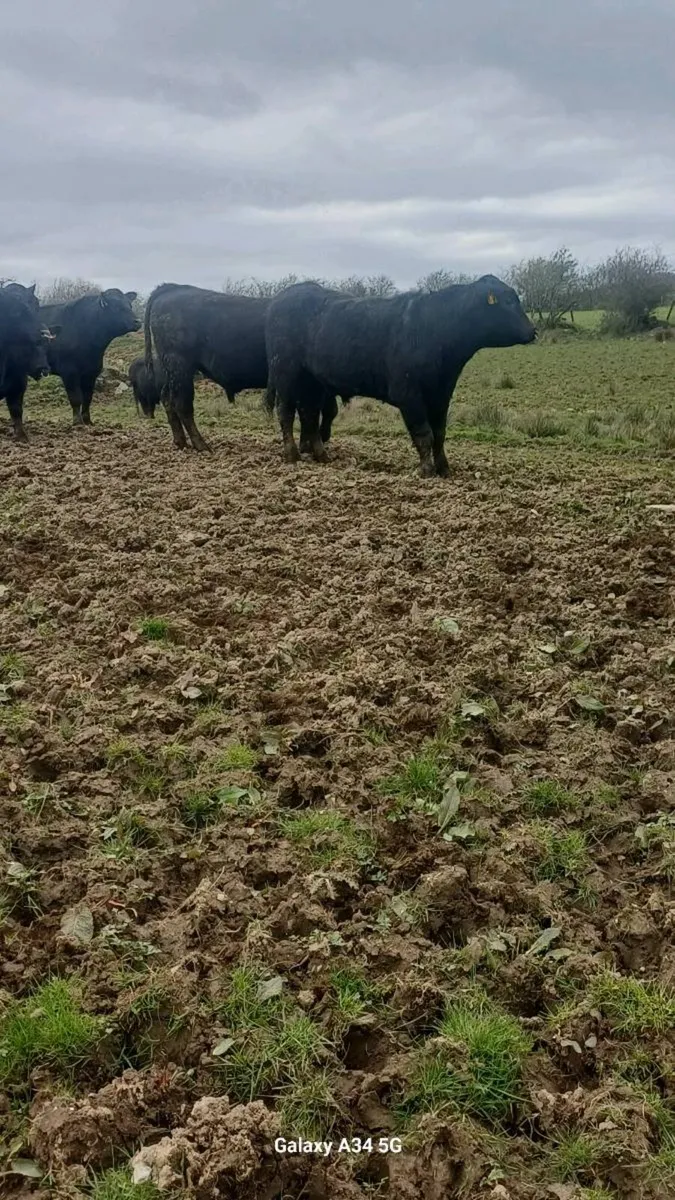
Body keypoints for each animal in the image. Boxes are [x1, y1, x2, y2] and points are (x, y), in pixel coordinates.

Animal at [0, 291, 58, 442]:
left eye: (47, 346)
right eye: (32, 341)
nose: (44, 369)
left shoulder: (18, 387)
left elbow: (16, 410)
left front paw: (22, 436)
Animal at [39, 289, 140, 426]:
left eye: (130, 305)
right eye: (117, 307)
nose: (138, 321)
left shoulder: (91, 372)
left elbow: (87, 397)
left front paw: (87, 420)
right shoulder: (69, 372)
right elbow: (75, 398)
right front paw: (77, 422)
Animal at [264, 275, 536, 477]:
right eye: (508, 301)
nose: (532, 331)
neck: (435, 328)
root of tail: (281, 298)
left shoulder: (441, 394)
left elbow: (439, 433)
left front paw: (444, 468)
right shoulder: (408, 395)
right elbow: (424, 434)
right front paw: (426, 470)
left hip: (313, 382)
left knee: (309, 414)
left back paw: (321, 455)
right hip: (286, 373)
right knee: (285, 412)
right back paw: (291, 454)